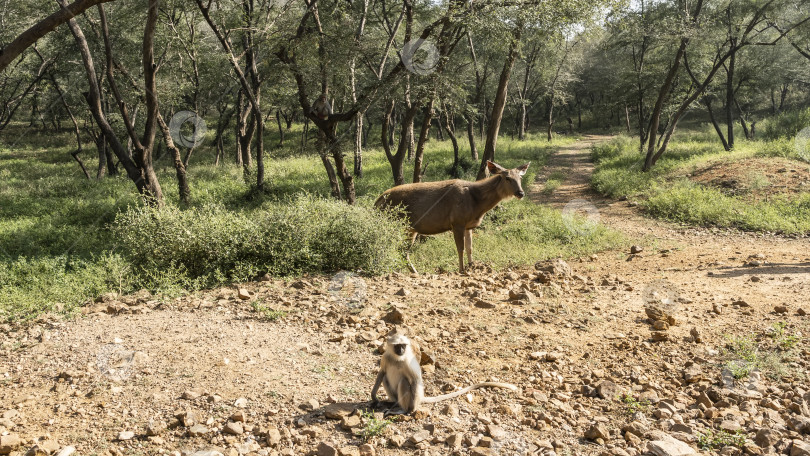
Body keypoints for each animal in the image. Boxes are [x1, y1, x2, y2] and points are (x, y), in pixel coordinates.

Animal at [370, 328, 516, 416]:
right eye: (397, 346)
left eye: (403, 346)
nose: (401, 351)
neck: (397, 359)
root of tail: (421, 398)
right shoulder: (386, 357)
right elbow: (382, 372)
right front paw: (374, 397)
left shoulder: (408, 361)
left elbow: (416, 380)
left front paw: (410, 410)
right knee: (385, 378)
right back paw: (391, 403)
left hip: (413, 397)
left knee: (404, 382)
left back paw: (402, 409)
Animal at [374, 160, 528, 272]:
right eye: (507, 178)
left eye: (520, 177)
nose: (521, 193)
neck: (476, 203)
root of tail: (377, 202)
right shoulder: (457, 221)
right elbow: (460, 248)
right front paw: (461, 270)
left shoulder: (468, 225)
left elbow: (470, 247)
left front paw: (472, 266)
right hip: (398, 224)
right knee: (394, 248)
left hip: (410, 228)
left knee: (401, 250)